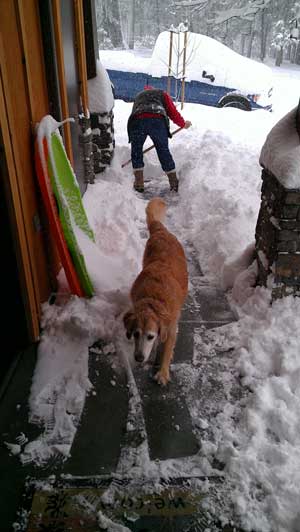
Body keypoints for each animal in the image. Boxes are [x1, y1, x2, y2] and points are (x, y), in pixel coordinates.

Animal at [122, 197, 188, 384]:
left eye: (150, 336)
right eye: (136, 334)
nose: (138, 358)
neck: (153, 300)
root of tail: (161, 231)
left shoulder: (171, 326)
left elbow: (168, 347)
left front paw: (163, 373)